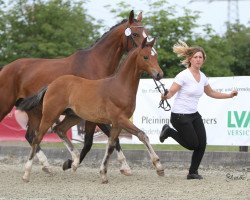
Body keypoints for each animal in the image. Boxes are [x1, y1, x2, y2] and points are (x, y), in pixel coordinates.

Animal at [0, 10, 147, 174]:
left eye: (146, 32)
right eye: (135, 34)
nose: (148, 50)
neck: (94, 64)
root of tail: (5, 68)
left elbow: (107, 138)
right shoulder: (97, 114)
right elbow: (99, 140)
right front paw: (71, 163)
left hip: (34, 111)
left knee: (30, 136)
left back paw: (46, 165)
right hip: (6, 106)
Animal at [19, 37, 164, 183]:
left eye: (156, 56)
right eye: (145, 57)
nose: (159, 74)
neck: (120, 87)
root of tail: (50, 85)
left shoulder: (117, 124)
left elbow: (111, 145)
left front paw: (103, 173)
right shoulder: (120, 119)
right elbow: (142, 135)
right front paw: (159, 166)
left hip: (74, 116)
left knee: (59, 129)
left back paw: (74, 161)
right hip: (50, 115)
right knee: (37, 138)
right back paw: (27, 173)